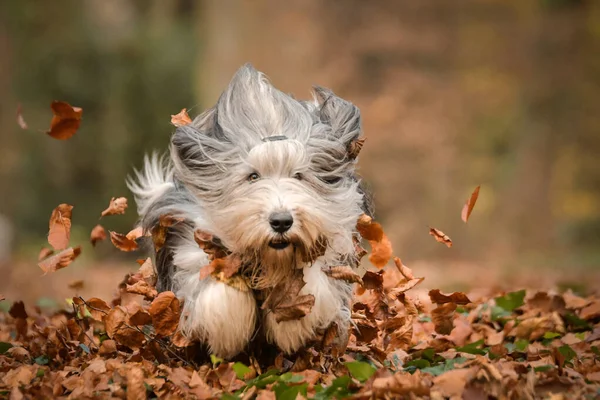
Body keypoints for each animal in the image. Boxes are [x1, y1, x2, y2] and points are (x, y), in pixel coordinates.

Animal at [129, 64, 372, 358]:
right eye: (252, 176)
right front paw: (229, 331)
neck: (270, 260)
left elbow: (311, 276)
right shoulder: (191, 244)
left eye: (299, 176)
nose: (281, 222)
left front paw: (292, 323)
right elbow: (215, 282)